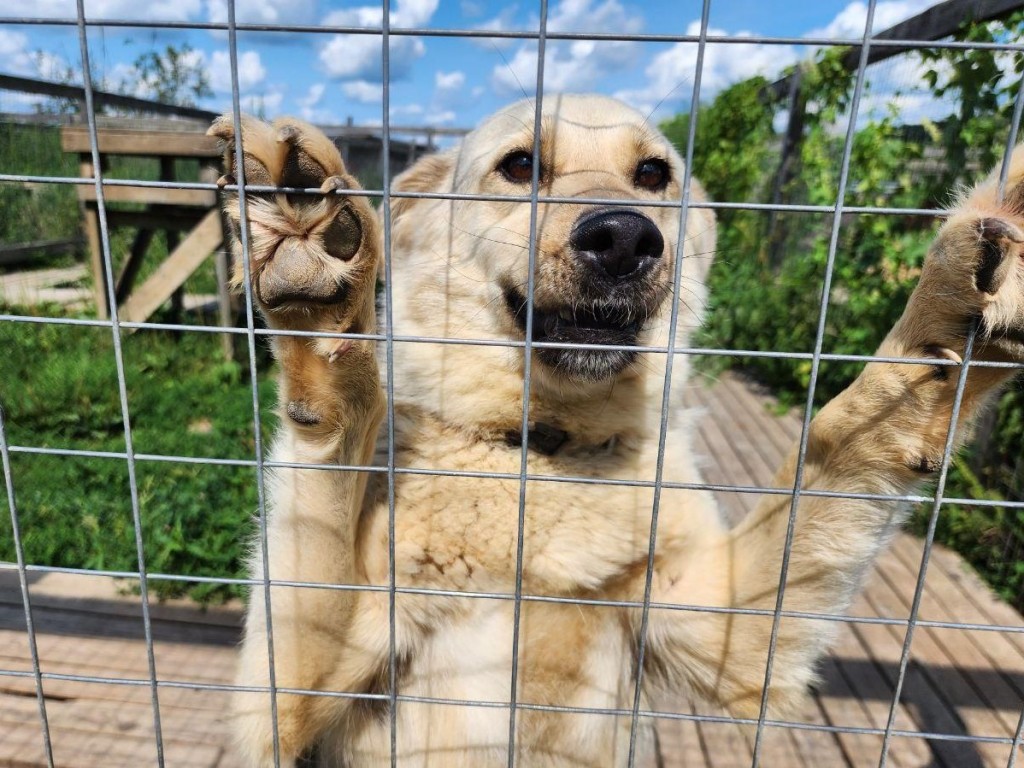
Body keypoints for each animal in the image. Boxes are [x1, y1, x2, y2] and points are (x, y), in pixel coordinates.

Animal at [207, 97, 1024, 768]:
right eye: (520, 165)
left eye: (653, 174)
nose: (625, 238)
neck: (543, 449)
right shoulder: (281, 708)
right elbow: (322, 481)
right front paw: (317, 290)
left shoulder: (736, 636)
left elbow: (839, 434)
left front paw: (952, 312)